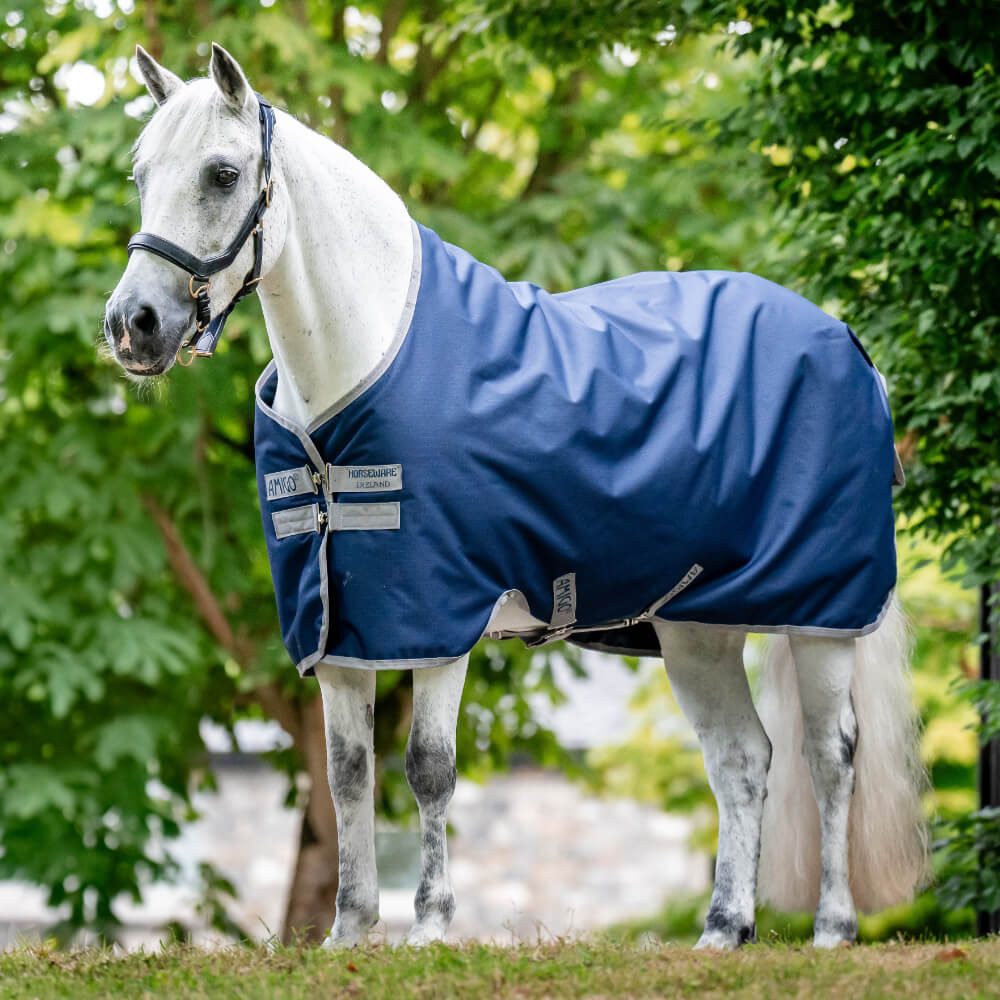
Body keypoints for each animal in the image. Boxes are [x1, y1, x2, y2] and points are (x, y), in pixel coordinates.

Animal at [103, 44, 928, 950]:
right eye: (142, 175)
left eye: (222, 174)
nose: (133, 324)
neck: (357, 375)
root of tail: (845, 343)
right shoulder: (340, 632)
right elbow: (348, 774)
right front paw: (350, 933)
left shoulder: (440, 618)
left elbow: (427, 769)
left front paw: (431, 928)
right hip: (697, 631)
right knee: (743, 759)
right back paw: (724, 929)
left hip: (822, 616)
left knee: (831, 755)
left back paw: (833, 928)